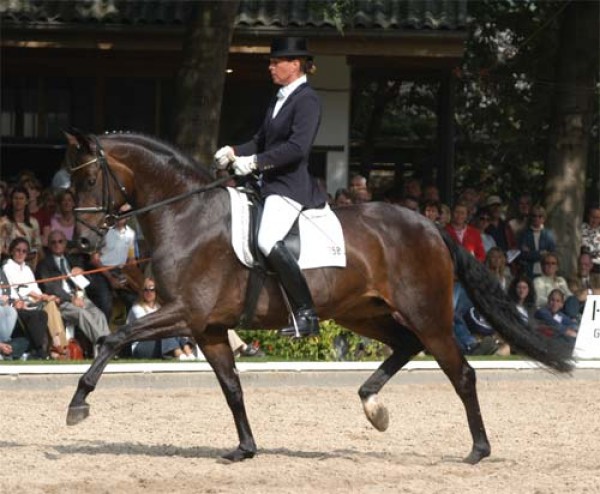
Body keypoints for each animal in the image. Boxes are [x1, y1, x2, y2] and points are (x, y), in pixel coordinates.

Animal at [64, 130, 572, 464]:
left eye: (88, 181)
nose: (83, 244)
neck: (186, 215)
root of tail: (431, 226)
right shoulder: (207, 328)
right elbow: (232, 388)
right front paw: (245, 448)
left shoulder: (187, 313)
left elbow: (114, 337)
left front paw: (78, 405)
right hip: (362, 313)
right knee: (406, 346)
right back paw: (372, 405)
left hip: (427, 314)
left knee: (460, 372)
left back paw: (477, 451)